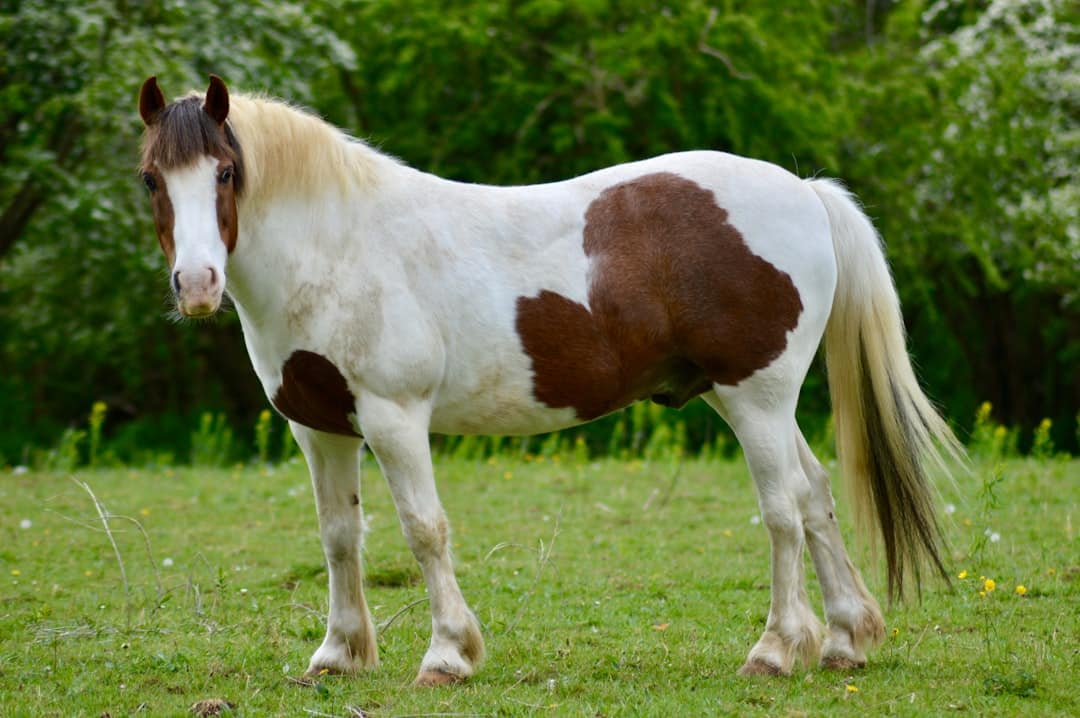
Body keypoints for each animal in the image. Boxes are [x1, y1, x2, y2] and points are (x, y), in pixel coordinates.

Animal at [137, 75, 961, 685]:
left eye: (226, 172)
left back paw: (776, 649)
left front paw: (447, 655)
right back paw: (845, 640)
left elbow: (423, 530)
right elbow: (340, 536)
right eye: (152, 178)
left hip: (756, 396)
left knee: (784, 510)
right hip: (754, 400)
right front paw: (337, 655)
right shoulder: (319, 427)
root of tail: (806, 190)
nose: (198, 284)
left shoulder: (393, 417)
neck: (336, 248)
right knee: (816, 497)